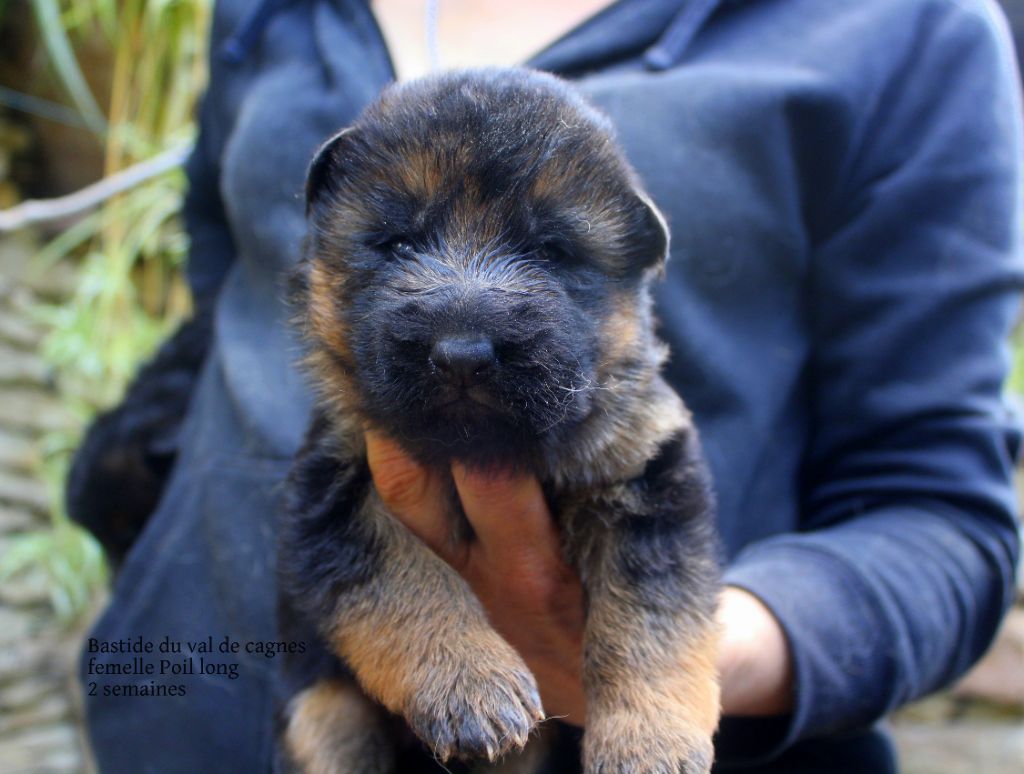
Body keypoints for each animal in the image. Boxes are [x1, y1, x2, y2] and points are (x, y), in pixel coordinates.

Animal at [276, 68, 716, 774]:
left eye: (551, 251)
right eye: (398, 242)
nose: (463, 353)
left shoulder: (646, 484)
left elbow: (651, 625)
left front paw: (651, 741)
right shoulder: (332, 495)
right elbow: (407, 583)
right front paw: (470, 683)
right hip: (321, 715)